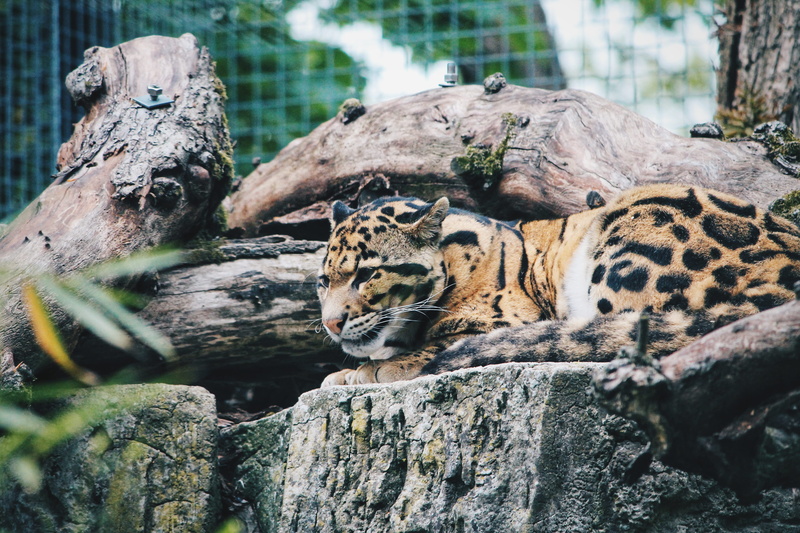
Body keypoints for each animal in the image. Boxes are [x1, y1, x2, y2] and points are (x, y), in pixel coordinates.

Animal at [317, 184, 800, 387]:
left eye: (366, 274)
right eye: (323, 282)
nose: (331, 323)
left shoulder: (505, 318)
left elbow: (432, 346)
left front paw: (365, 371)